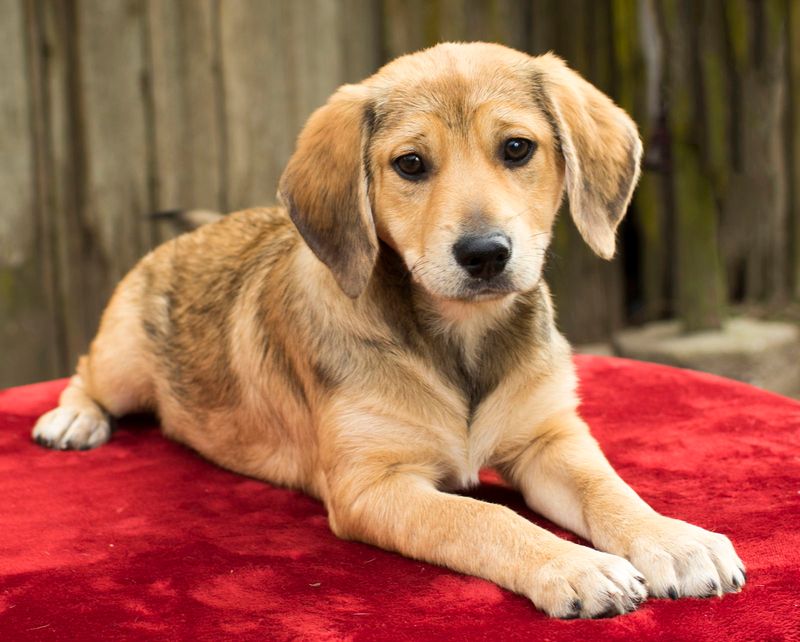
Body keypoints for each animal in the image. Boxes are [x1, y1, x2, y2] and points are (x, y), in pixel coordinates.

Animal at [31, 41, 744, 616]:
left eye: (517, 148)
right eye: (410, 164)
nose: (485, 254)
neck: (459, 340)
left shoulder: (549, 439)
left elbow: (610, 490)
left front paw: (675, 539)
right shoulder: (374, 487)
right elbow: (483, 518)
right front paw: (574, 564)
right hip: (123, 362)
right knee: (84, 373)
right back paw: (75, 418)